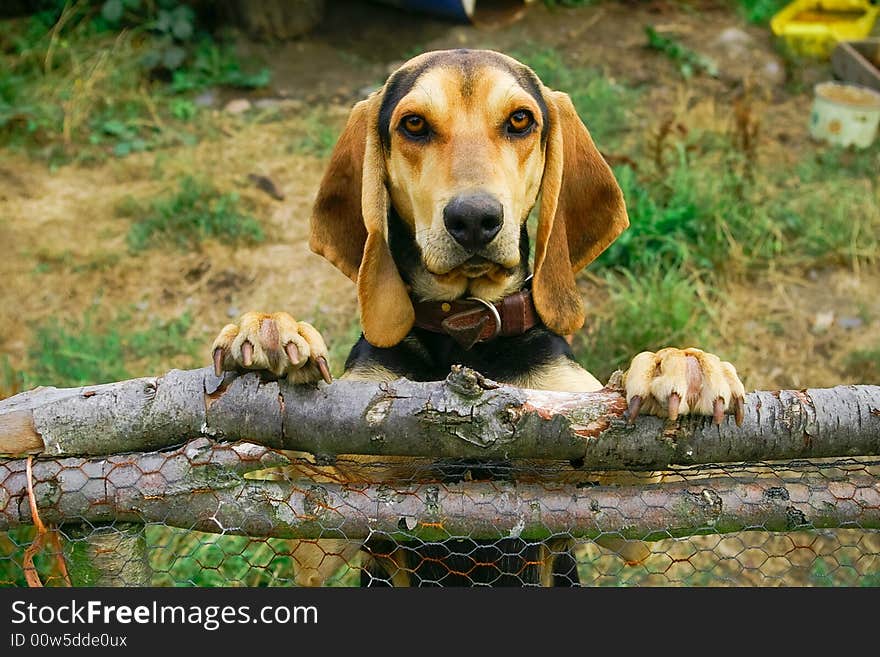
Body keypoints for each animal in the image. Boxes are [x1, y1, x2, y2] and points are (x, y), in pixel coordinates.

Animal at [210, 50, 744, 584]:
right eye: (414, 124)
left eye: (520, 120)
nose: (473, 219)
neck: (468, 328)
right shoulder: (325, 522)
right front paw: (269, 334)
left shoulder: (614, 510)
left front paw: (680, 364)